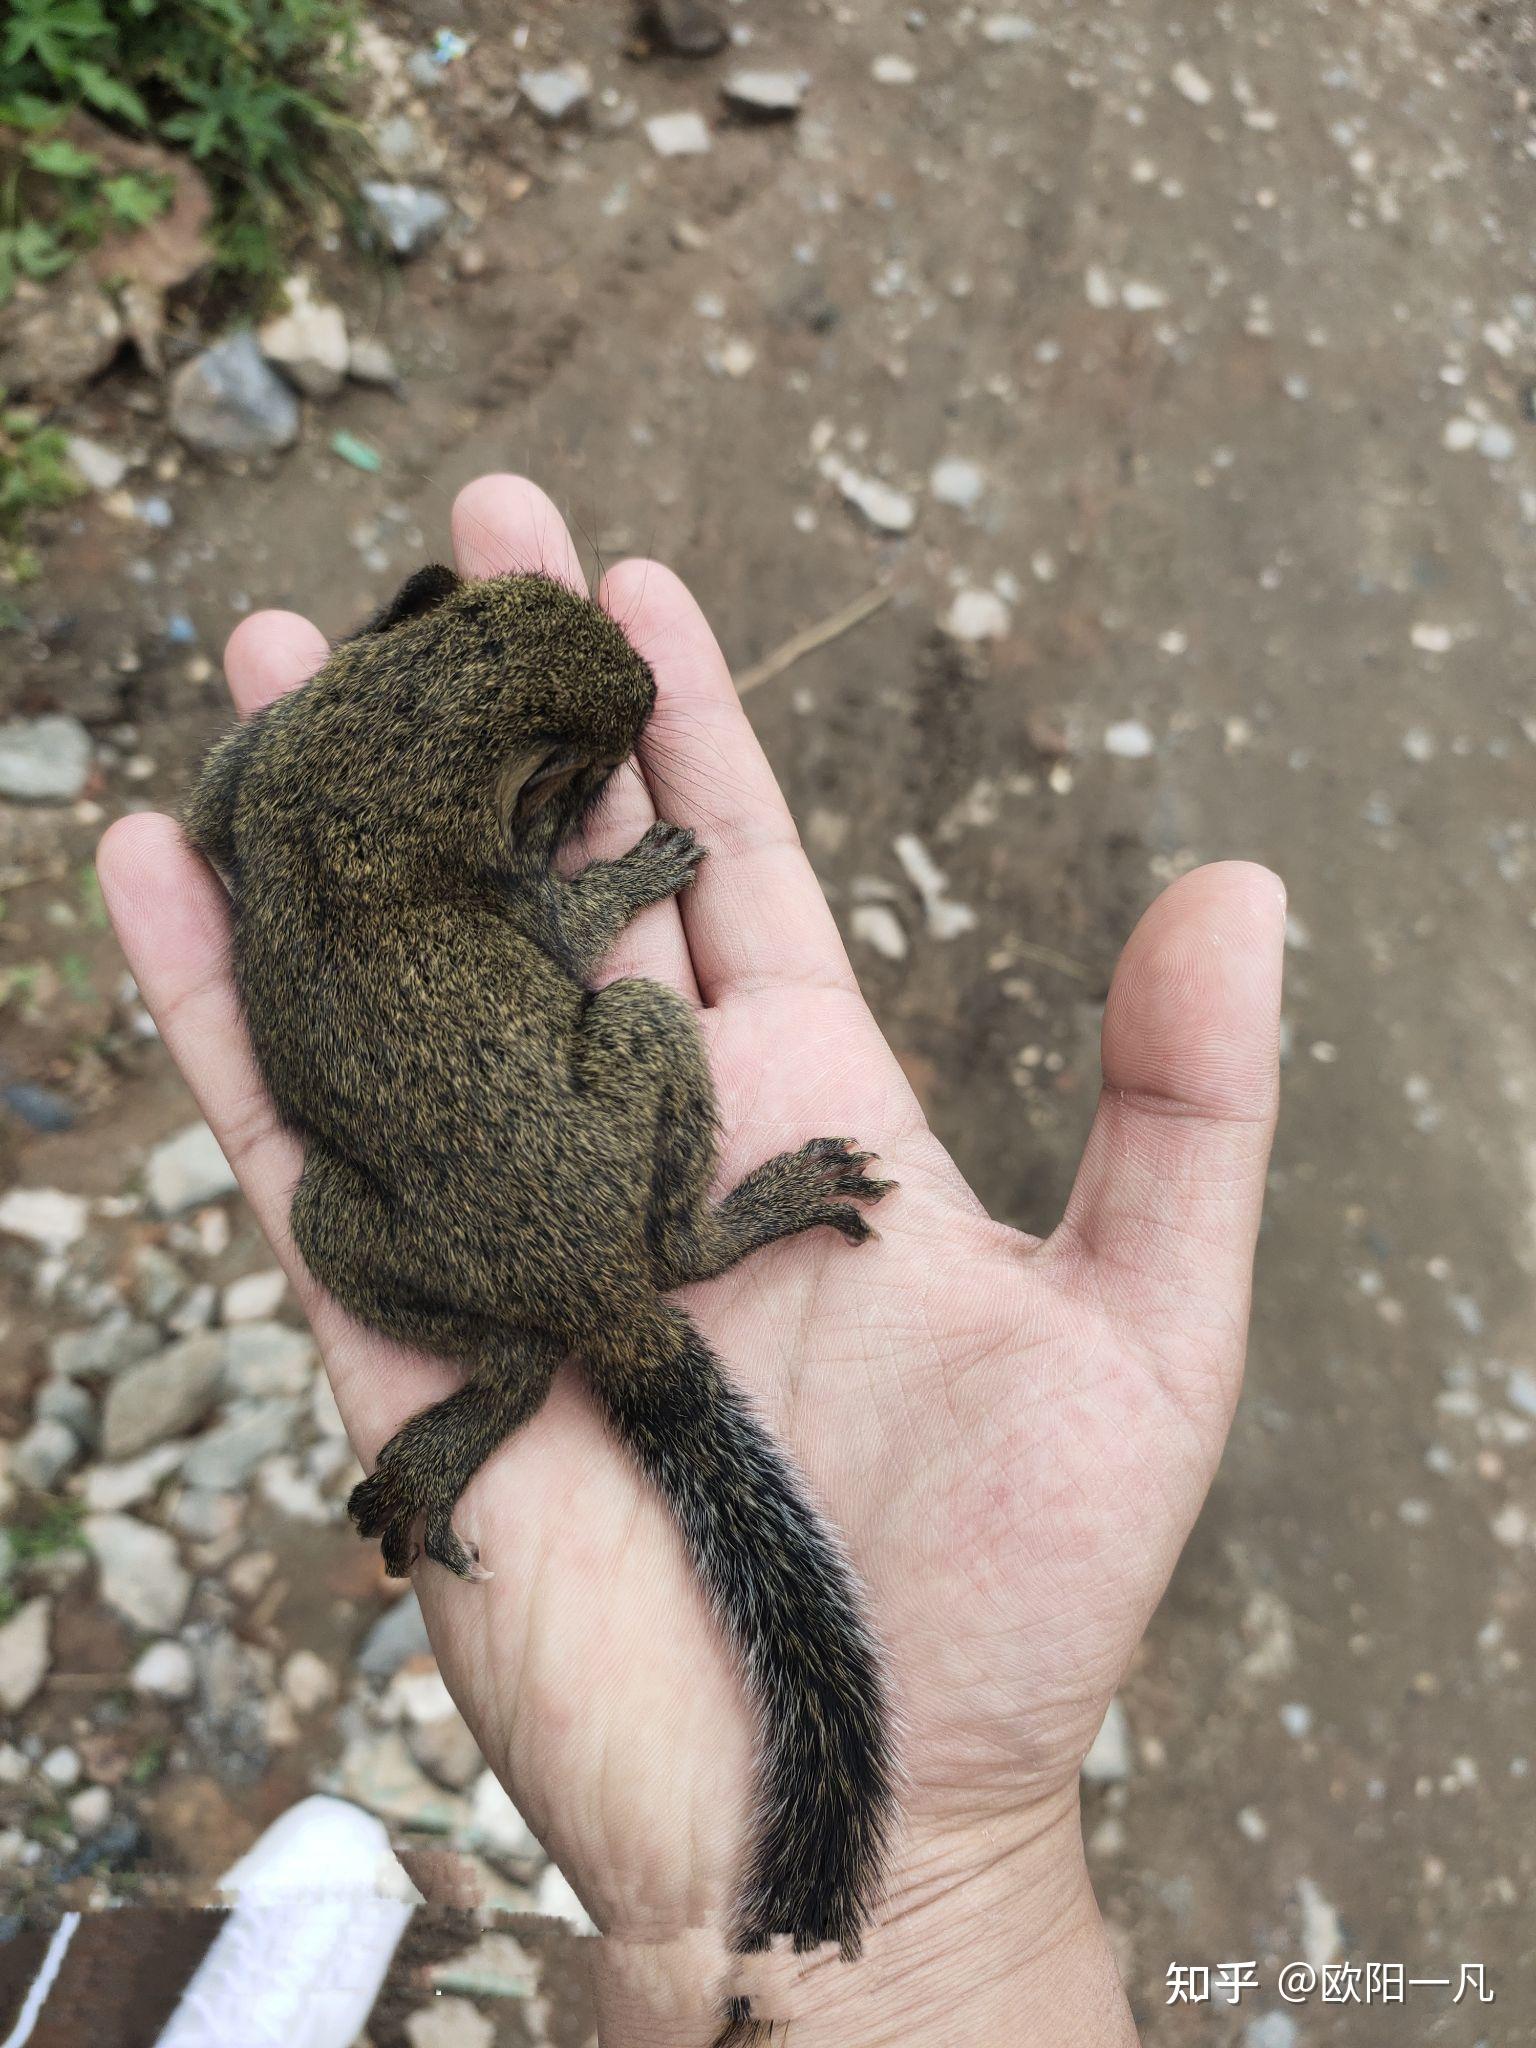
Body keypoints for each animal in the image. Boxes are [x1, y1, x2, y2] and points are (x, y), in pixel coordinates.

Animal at [185, 569, 897, 2023]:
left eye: (553, 605)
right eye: (585, 752)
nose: (651, 689)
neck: (391, 732)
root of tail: (589, 1281)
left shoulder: (255, 759)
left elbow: (205, 806)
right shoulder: (511, 898)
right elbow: (563, 923)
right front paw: (632, 861)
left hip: (335, 1223)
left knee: (509, 1354)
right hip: (640, 1036)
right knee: (653, 1256)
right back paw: (751, 1210)